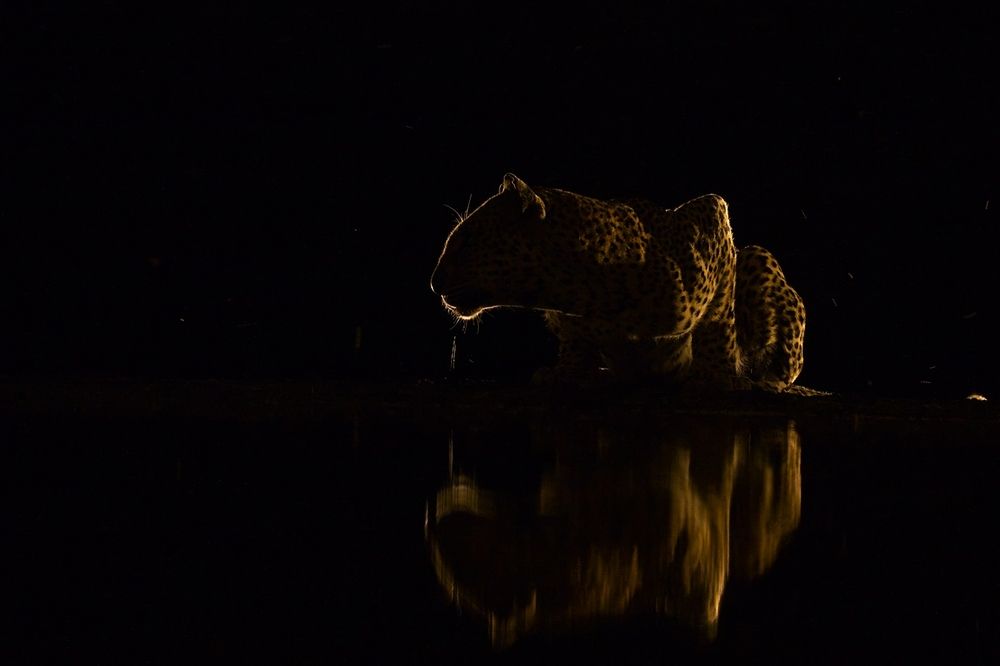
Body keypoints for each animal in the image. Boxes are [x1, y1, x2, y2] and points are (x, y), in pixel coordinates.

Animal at [430, 173, 809, 392]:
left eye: (465, 240)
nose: (433, 283)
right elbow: (574, 341)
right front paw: (568, 370)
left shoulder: (711, 216)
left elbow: (717, 320)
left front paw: (718, 374)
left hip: (755, 258)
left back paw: (770, 380)